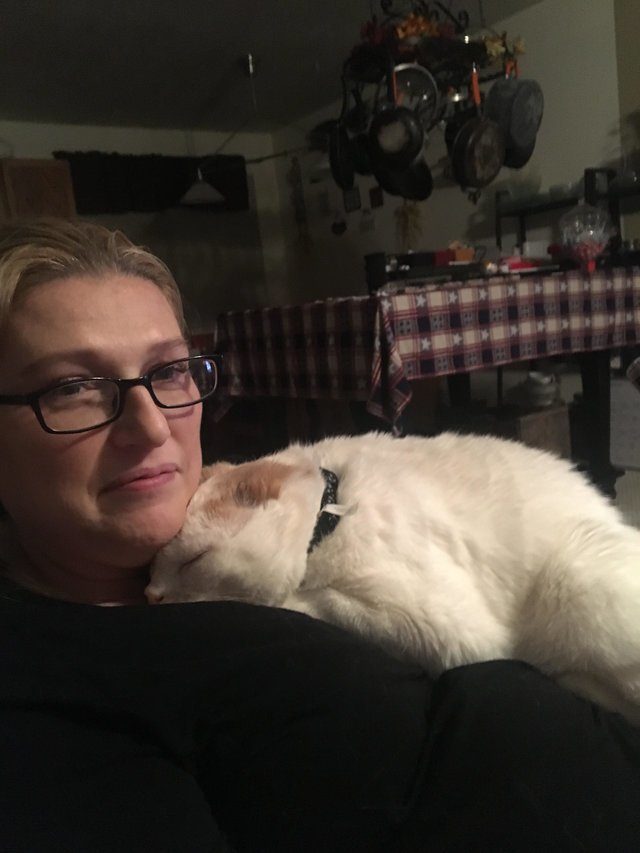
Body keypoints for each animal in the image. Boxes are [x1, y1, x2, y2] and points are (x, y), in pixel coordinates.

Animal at [147, 431, 640, 724]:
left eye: (193, 563)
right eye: (152, 577)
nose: (151, 598)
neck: (332, 506)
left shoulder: (451, 632)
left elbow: (310, 603)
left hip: (576, 576)